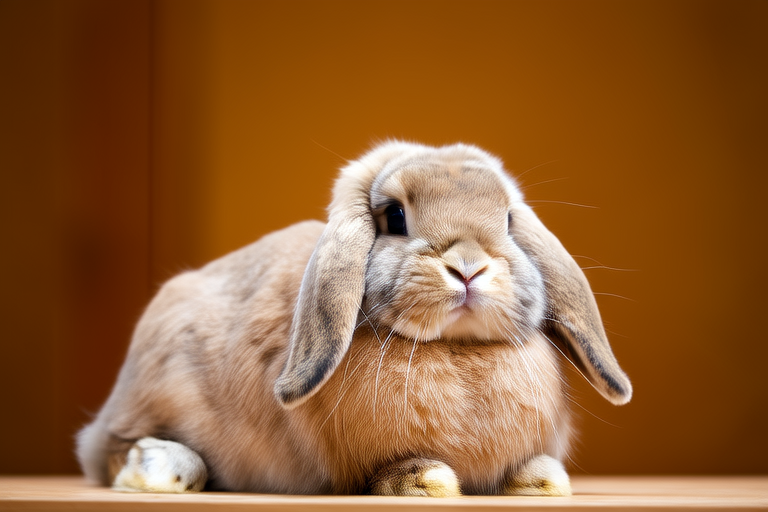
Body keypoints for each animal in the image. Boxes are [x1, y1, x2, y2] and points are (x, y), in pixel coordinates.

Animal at [76, 141, 632, 497]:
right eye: (395, 217)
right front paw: (426, 480)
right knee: (109, 450)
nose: (469, 266)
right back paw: (162, 467)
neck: (455, 347)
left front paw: (544, 480)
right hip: (154, 386)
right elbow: (391, 473)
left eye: (510, 220)